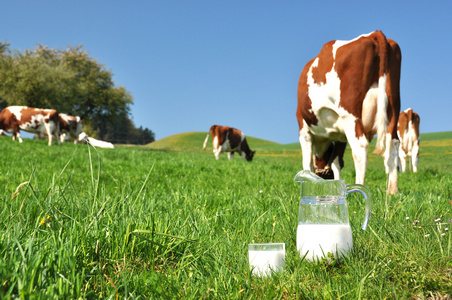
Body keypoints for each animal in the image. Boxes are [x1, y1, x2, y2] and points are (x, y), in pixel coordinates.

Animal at [298, 31, 400, 195]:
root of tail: (372, 34)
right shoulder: (340, 136)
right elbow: (337, 162)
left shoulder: (303, 128)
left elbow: (306, 161)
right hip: (393, 111)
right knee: (393, 145)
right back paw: (392, 191)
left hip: (350, 116)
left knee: (360, 147)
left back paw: (359, 189)